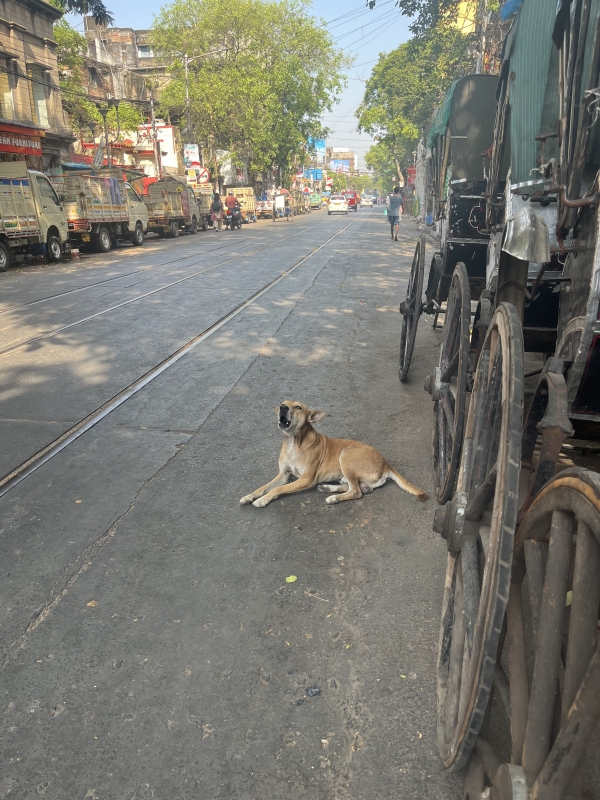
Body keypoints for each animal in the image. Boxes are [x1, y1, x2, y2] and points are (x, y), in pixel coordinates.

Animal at [239, 400, 426, 506]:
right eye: (282, 403)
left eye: (298, 407)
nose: (282, 408)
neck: (293, 443)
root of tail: (386, 464)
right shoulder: (283, 475)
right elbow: (265, 486)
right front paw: (250, 496)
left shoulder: (305, 479)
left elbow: (278, 489)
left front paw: (262, 500)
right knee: (357, 487)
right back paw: (328, 489)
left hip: (346, 455)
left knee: (356, 492)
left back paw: (333, 498)